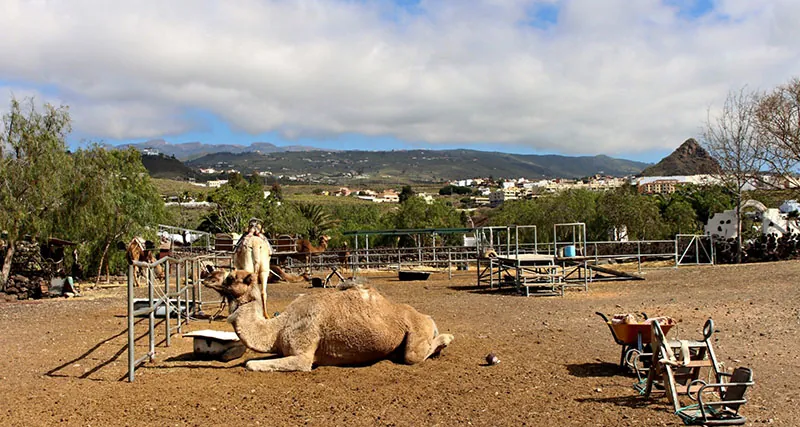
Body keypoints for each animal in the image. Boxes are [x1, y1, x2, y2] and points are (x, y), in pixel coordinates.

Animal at [201, 269, 454, 372]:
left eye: (232, 277)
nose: (206, 276)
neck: (277, 328)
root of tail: (428, 318)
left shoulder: (303, 354)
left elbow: (250, 364)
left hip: (416, 334)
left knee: (413, 355)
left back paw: (447, 339)